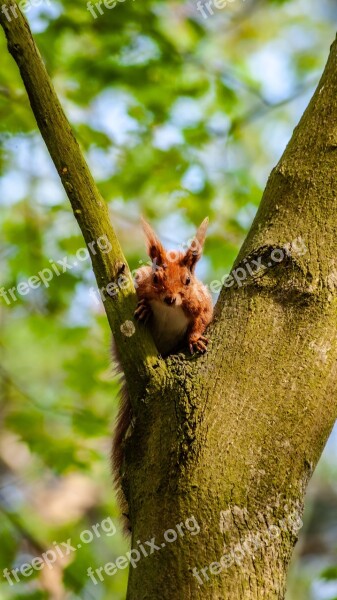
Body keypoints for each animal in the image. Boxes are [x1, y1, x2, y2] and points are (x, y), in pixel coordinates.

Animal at [112, 217, 213, 528]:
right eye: (156, 278)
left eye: (188, 281)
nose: (170, 299)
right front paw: (145, 309)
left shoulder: (201, 303)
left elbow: (201, 319)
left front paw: (195, 340)